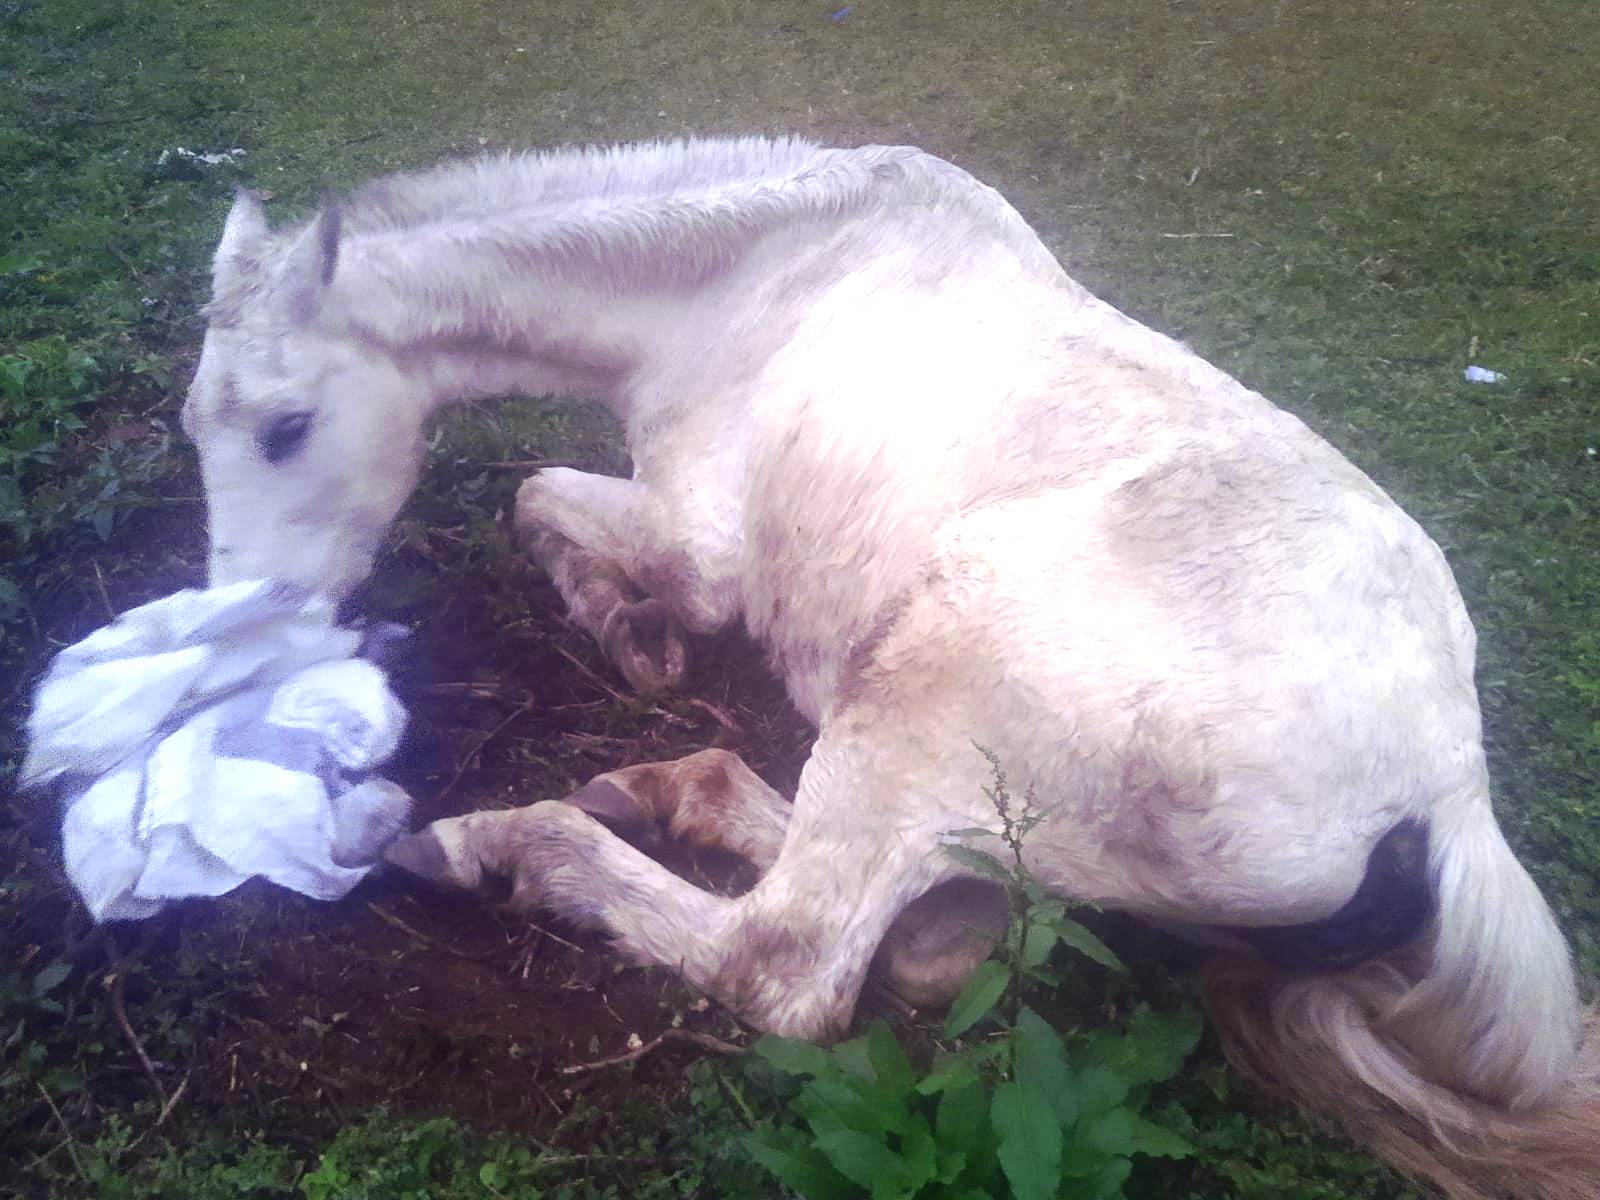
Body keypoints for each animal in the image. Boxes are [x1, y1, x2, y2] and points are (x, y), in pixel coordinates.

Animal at [187, 136, 1600, 1196]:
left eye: (288, 427)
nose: (241, 630)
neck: (752, 284)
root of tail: (1442, 796)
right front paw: (631, 633)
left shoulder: (705, 542)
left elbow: (538, 495)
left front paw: (634, 628)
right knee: (925, 934)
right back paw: (664, 791)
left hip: (931, 676)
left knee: (790, 960)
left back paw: (504, 841)